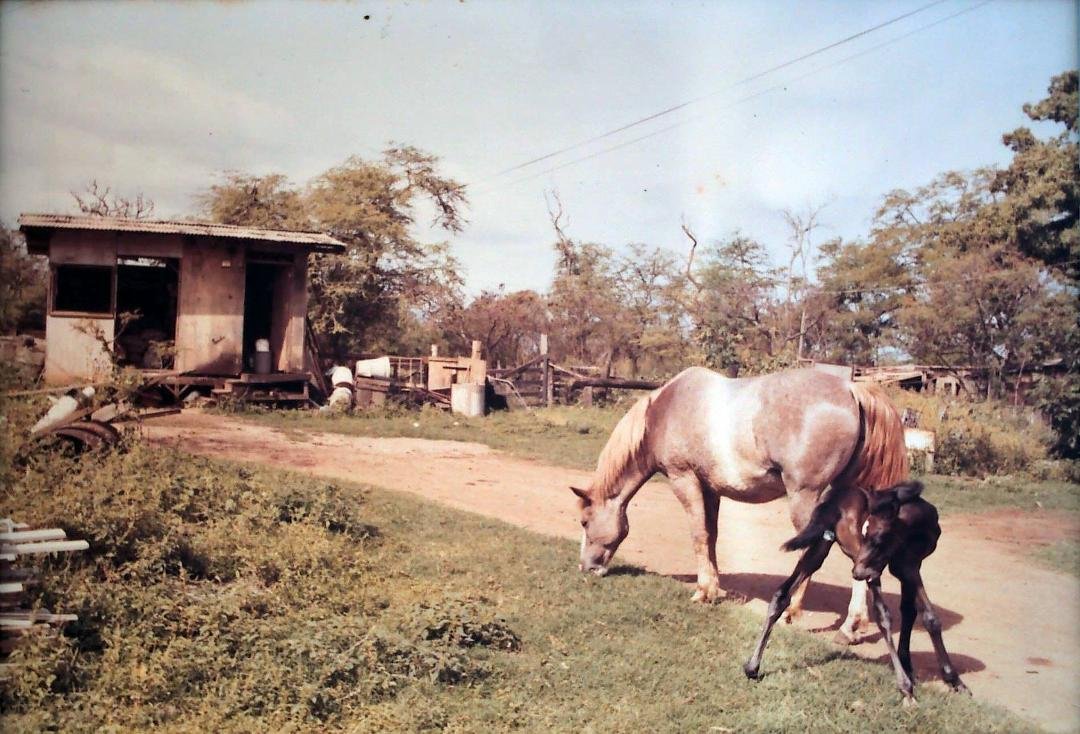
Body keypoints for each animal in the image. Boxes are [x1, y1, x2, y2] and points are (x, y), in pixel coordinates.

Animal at [571, 366, 908, 642]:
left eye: (585, 522)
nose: (586, 567)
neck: (664, 411)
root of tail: (852, 390)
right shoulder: (711, 490)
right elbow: (711, 536)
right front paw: (713, 587)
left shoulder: (684, 480)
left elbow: (698, 535)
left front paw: (702, 592)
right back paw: (850, 626)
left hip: (806, 498)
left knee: (819, 551)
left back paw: (804, 615)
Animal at [744, 480, 970, 701]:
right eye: (866, 533)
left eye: (879, 538)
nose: (857, 572)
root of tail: (836, 499)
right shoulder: (904, 565)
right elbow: (926, 616)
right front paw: (950, 679)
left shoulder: (909, 565)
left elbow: (912, 612)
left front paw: (919, 670)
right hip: (861, 562)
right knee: (881, 614)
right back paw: (905, 687)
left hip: (822, 549)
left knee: (781, 594)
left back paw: (752, 667)